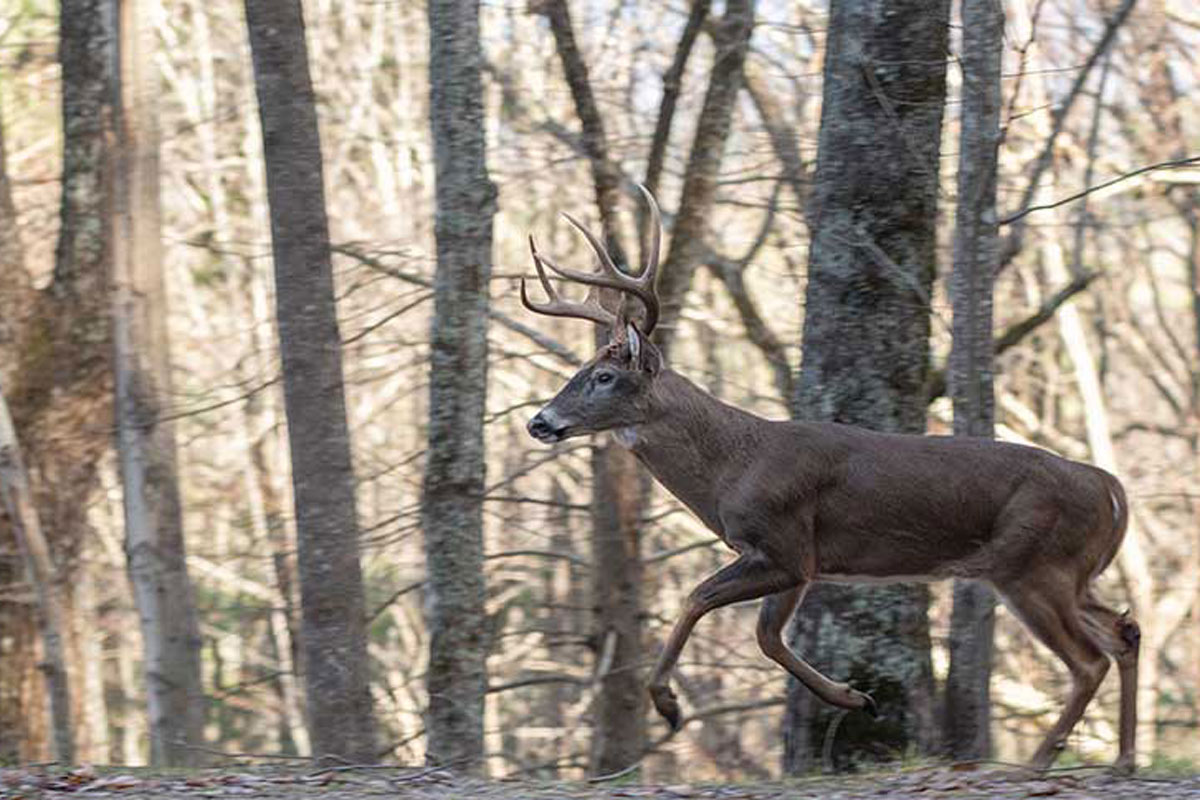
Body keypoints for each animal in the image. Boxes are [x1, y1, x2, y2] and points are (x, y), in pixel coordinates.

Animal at [519, 185, 1140, 773]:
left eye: (604, 375)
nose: (540, 422)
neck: (731, 468)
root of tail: (1110, 487)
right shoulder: (802, 560)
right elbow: (768, 637)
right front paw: (857, 698)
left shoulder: (786, 545)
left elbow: (699, 597)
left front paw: (668, 704)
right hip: (1070, 572)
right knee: (1124, 633)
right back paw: (1123, 758)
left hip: (1031, 564)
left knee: (1090, 660)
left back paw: (1039, 761)